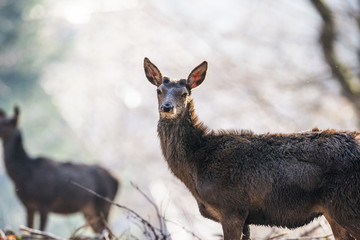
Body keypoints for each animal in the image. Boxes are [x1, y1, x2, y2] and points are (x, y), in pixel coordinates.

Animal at [144, 57, 360, 240]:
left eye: (184, 93)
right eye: (159, 91)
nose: (167, 107)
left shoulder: (232, 208)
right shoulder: (244, 217)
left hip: (346, 203)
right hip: (334, 212)